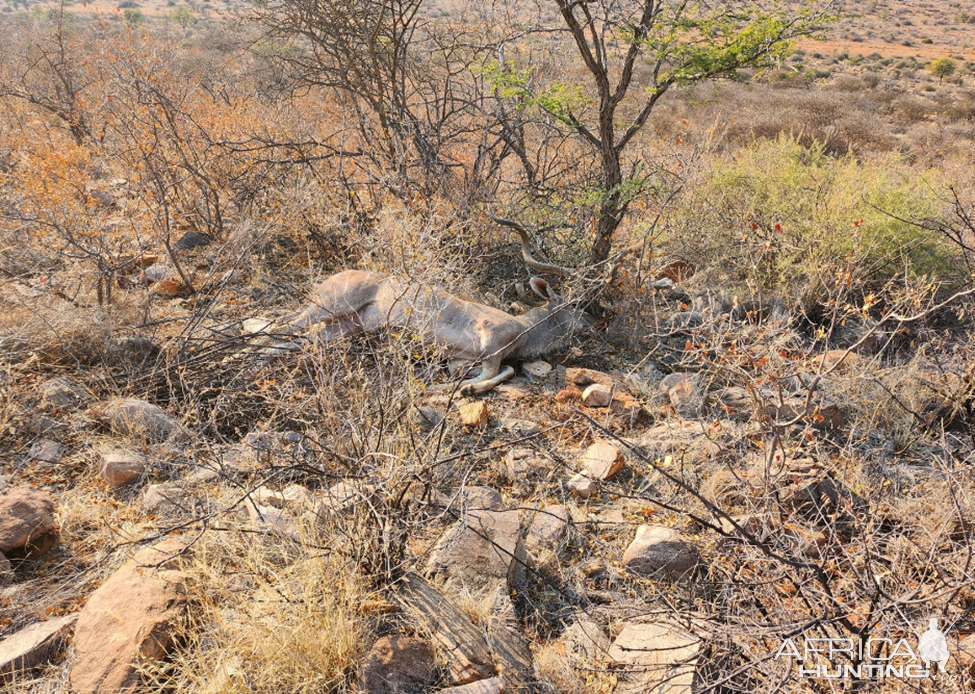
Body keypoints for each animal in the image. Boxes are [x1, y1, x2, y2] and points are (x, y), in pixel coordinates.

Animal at [264, 213, 596, 396]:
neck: (526, 328)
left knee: (296, 338)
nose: (592, 325)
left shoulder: (463, 359)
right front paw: (458, 389)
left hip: (343, 328)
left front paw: (461, 385)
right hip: (330, 307)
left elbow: (496, 372)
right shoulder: (490, 341)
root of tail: (330, 280)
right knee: (281, 326)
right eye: (576, 305)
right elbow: (499, 373)